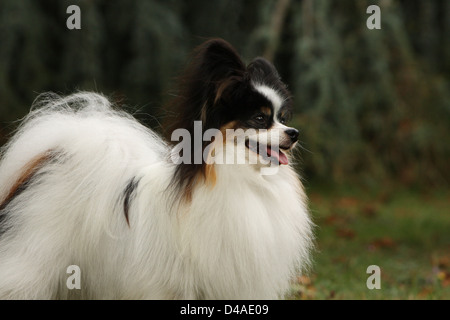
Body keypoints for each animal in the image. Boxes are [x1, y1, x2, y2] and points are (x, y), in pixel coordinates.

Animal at [0, 38, 314, 298]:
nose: (295, 133)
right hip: (33, 261)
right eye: (260, 119)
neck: (242, 176)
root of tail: (55, 157)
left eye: (283, 118)